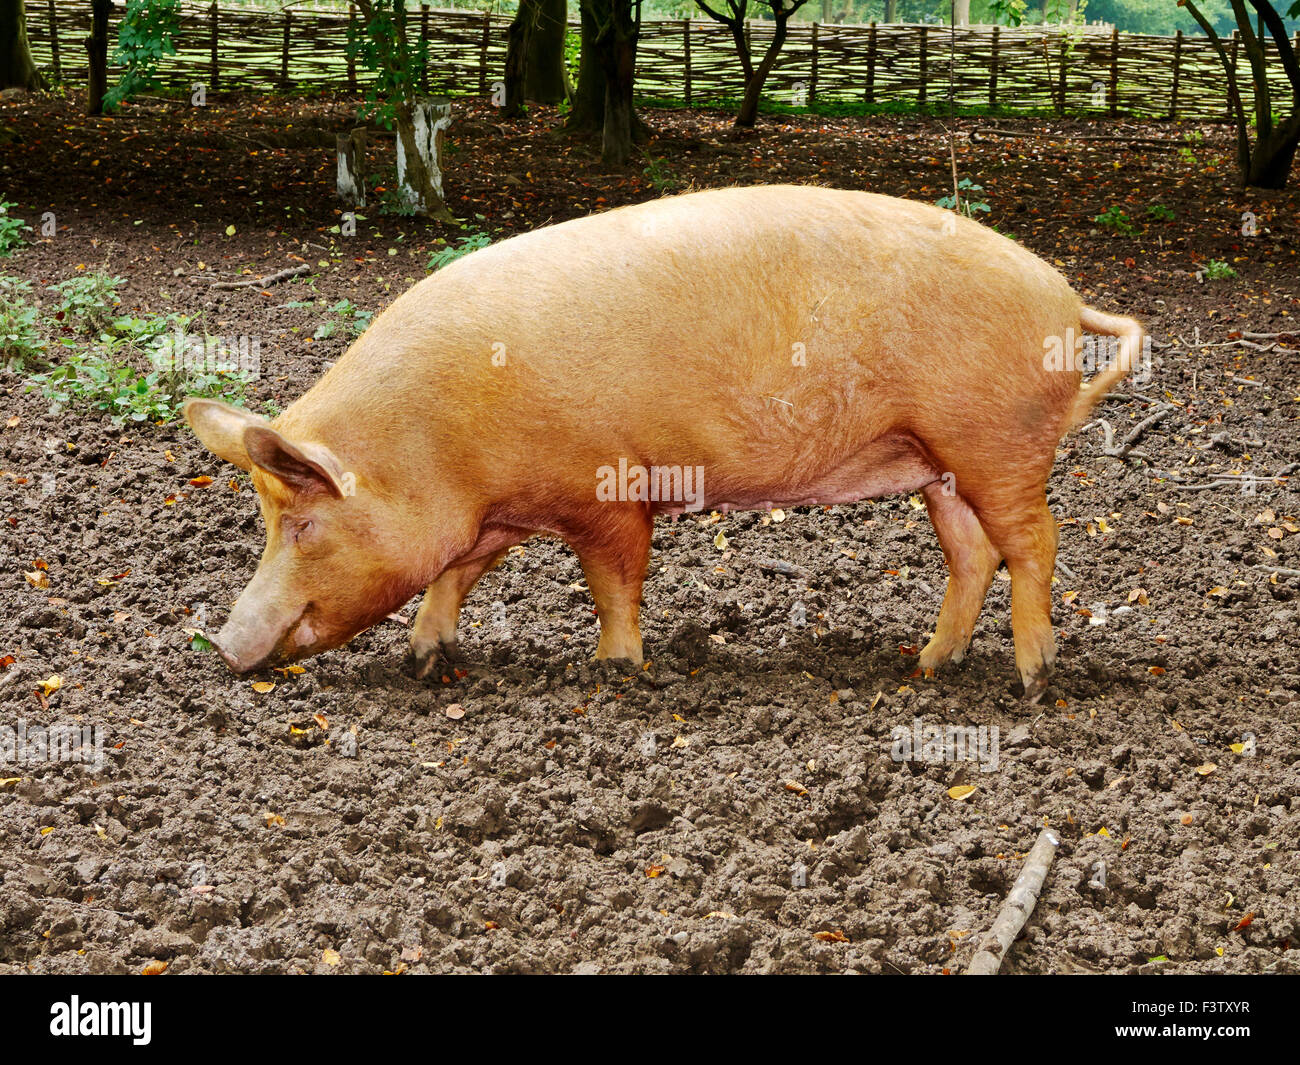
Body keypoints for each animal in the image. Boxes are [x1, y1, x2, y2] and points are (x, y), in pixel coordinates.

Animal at [183, 183, 1138, 702]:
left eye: (303, 524)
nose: (222, 646)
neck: (440, 448)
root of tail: (1063, 294)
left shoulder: (606, 489)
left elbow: (613, 579)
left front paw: (613, 668)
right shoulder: (494, 514)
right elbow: (457, 571)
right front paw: (426, 659)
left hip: (996, 440)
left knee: (1035, 541)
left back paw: (1032, 678)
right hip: (941, 464)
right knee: (974, 554)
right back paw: (927, 669)